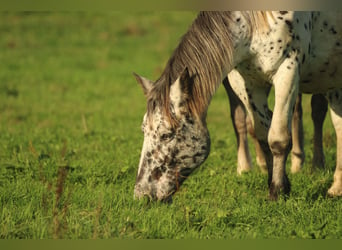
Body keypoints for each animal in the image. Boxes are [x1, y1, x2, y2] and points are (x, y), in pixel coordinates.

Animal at [134, 11, 342, 201]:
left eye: (166, 135)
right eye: (143, 130)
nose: (142, 194)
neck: (255, 22)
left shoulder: (287, 70)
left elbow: (278, 138)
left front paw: (277, 191)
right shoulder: (246, 82)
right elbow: (262, 135)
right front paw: (274, 181)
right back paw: (336, 186)